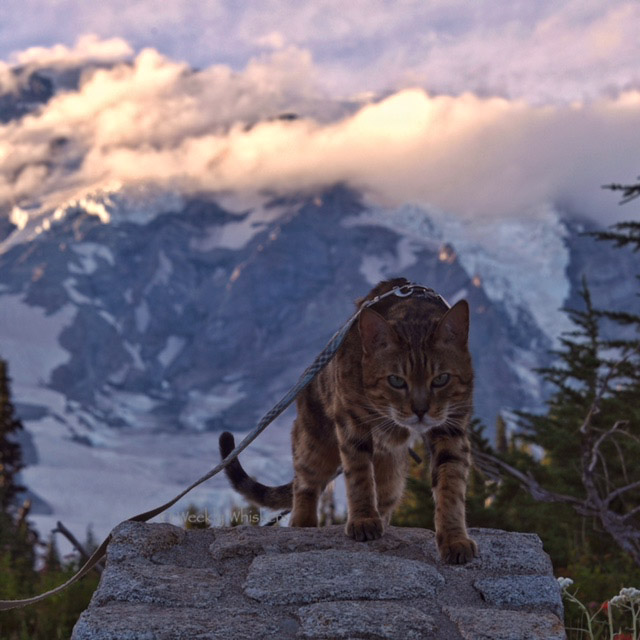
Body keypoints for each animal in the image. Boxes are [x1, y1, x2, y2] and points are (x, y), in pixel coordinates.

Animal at [219, 278, 476, 564]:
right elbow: (359, 474)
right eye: (396, 380)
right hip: (315, 440)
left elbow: (451, 484)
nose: (420, 410)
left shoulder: (451, 427)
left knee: (384, 492)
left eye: (441, 379)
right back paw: (304, 522)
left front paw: (454, 539)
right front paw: (363, 519)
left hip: (393, 473)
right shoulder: (352, 421)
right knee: (304, 481)